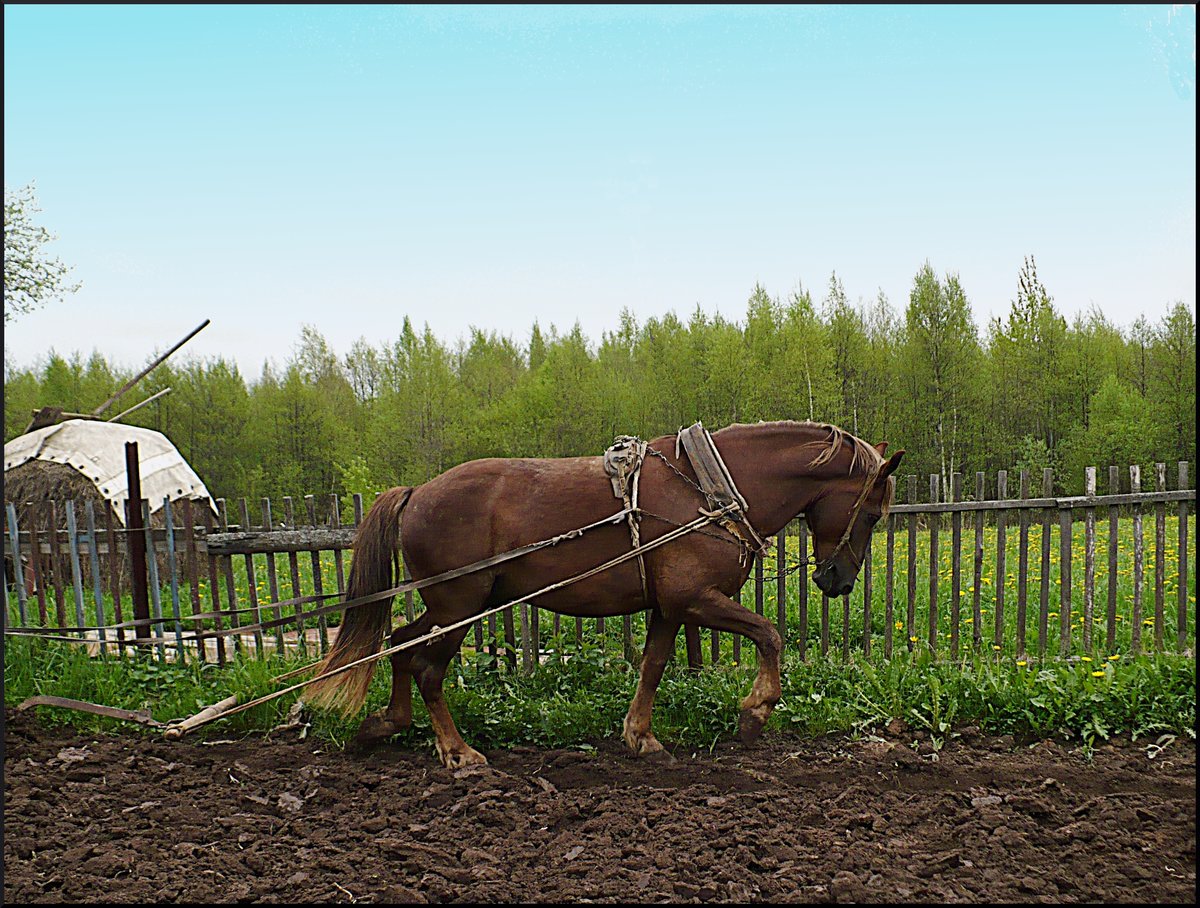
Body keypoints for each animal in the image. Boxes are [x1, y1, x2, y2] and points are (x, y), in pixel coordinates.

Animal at [307, 420, 903, 768]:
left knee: (401, 645)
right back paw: (458, 752)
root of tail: (417, 492)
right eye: (873, 514)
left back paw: (386, 724)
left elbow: (654, 666)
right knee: (427, 668)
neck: (708, 492)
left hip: (451, 604)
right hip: (460, 605)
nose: (837, 581)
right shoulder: (696, 598)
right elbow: (769, 634)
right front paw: (755, 713)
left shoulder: (668, 608)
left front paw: (640, 736)